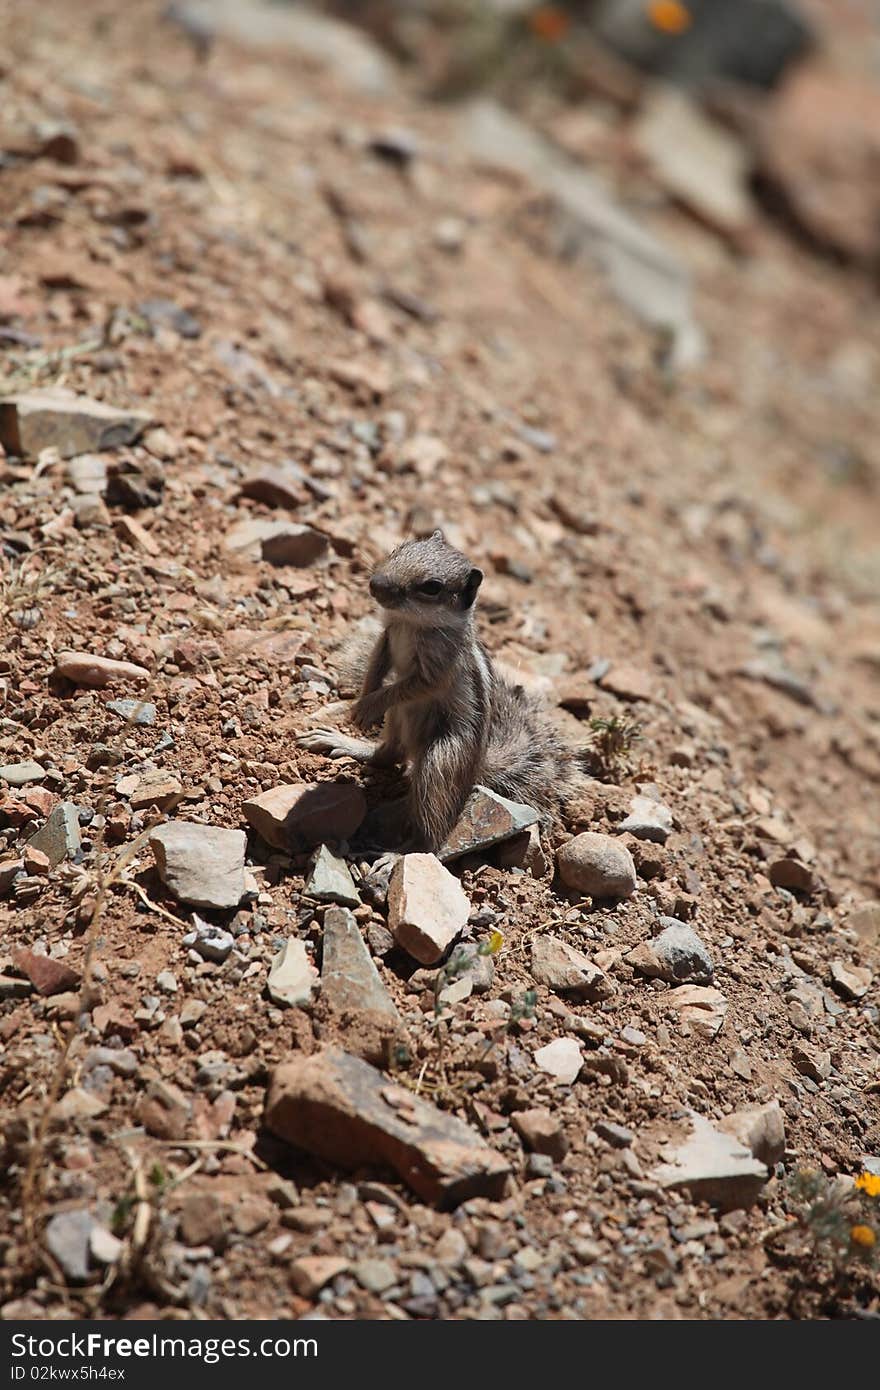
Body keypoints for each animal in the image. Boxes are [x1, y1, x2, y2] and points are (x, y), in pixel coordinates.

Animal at [298, 530, 586, 850]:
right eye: (400, 548)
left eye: (432, 587)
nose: (376, 584)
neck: (410, 622)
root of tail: (475, 769)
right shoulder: (386, 637)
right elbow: (377, 664)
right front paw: (363, 701)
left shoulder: (438, 667)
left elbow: (415, 685)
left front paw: (369, 705)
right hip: (397, 718)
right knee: (390, 754)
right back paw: (349, 744)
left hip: (441, 758)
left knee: (433, 822)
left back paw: (400, 853)